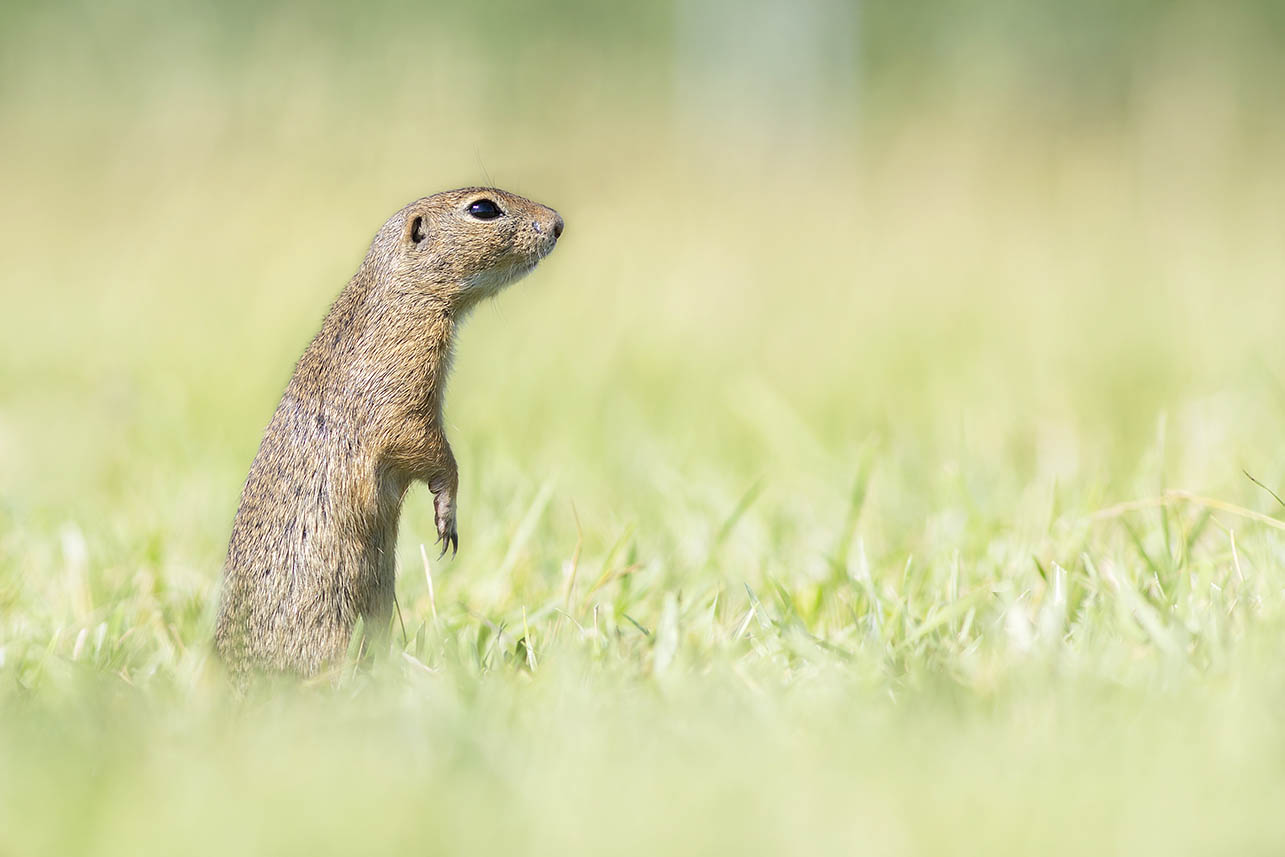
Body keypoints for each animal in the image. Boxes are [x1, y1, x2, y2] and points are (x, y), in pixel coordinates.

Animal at [213, 187, 565, 683]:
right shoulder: (402, 379)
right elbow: (423, 445)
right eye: (483, 208)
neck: (398, 297)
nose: (557, 223)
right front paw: (447, 516)